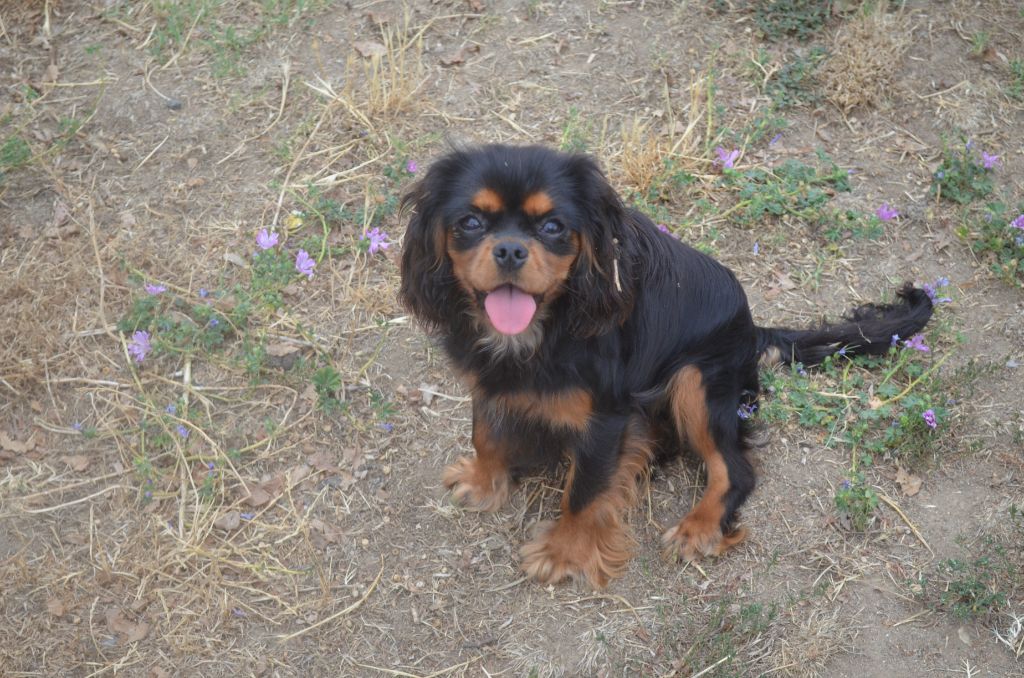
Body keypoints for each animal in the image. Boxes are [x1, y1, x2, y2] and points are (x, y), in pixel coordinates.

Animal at [398, 144, 933, 588]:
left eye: (552, 227)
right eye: (470, 222)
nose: (509, 250)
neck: (540, 328)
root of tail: (752, 327)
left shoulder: (606, 418)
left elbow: (583, 493)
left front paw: (563, 554)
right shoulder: (486, 380)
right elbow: (485, 432)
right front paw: (482, 481)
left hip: (696, 381)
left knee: (735, 470)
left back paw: (700, 527)